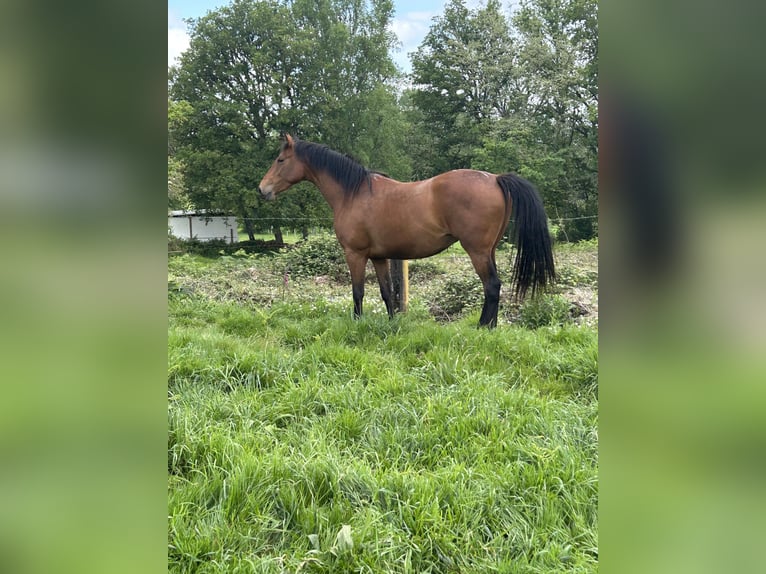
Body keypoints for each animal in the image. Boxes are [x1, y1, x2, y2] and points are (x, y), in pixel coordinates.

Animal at [260, 132, 556, 326]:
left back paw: (482, 327)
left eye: (280, 160)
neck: (353, 193)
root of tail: (494, 179)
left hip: (477, 251)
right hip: (489, 250)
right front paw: (392, 324)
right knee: (494, 287)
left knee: (492, 286)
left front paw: (356, 324)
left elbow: (358, 292)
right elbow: (386, 292)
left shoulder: (355, 254)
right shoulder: (379, 257)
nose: (263, 189)